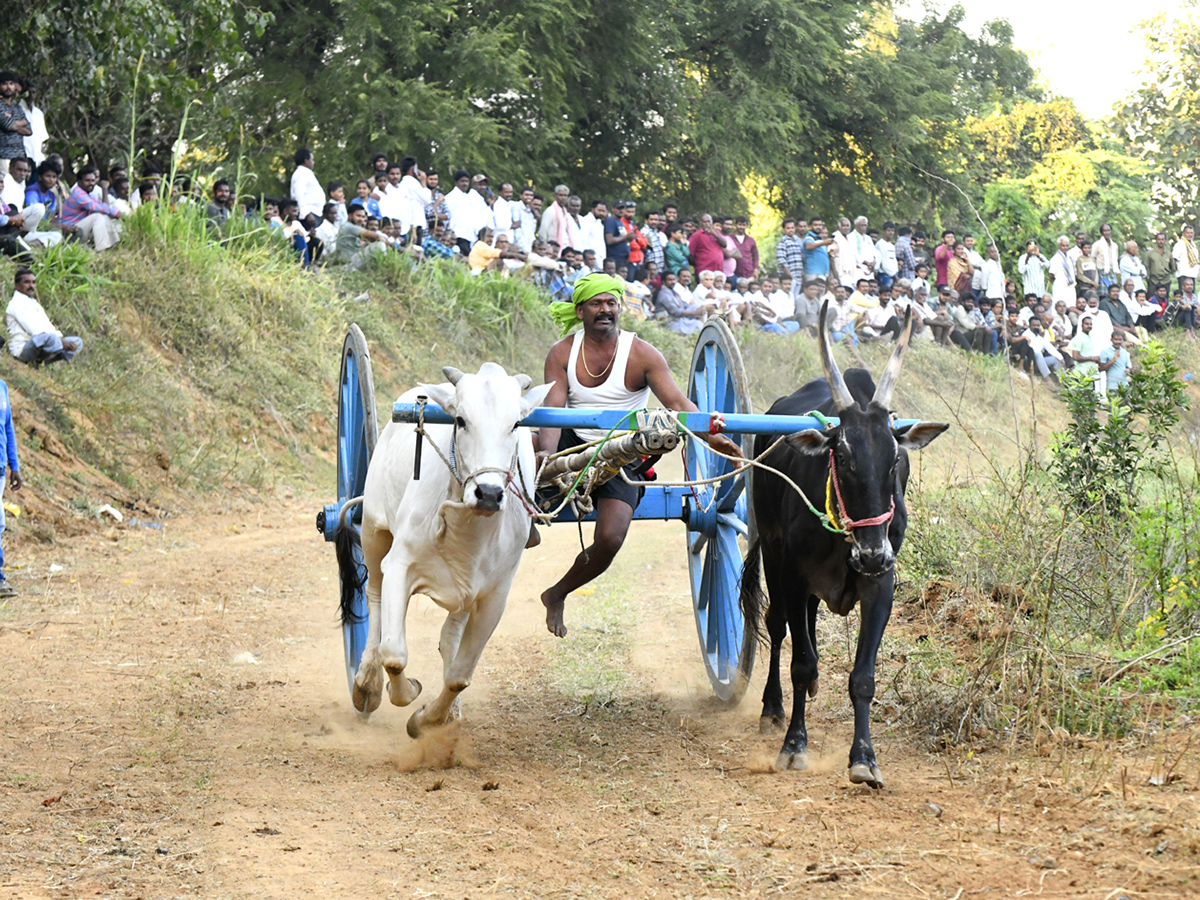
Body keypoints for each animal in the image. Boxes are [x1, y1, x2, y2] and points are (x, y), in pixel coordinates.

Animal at [333, 362, 549, 734]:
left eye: (516, 424)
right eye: (460, 420)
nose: (489, 494)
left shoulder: (493, 596)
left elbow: (459, 675)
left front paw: (429, 719)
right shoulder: (400, 566)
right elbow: (394, 653)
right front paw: (406, 692)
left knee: (449, 638)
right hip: (374, 530)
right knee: (373, 600)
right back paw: (366, 685)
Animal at [739, 303, 945, 787]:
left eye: (895, 459)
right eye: (844, 456)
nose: (870, 553)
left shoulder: (881, 583)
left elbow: (863, 677)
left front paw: (864, 759)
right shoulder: (793, 576)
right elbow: (800, 662)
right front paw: (794, 745)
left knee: (808, 624)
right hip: (772, 554)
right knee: (778, 627)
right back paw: (772, 708)